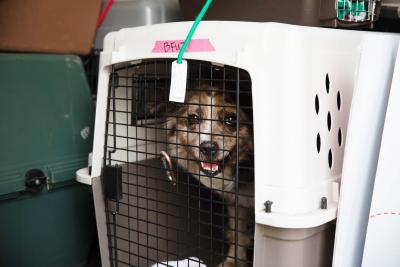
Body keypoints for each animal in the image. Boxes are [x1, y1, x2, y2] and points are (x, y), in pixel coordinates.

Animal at [165, 86, 253, 267]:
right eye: (193, 118)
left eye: (231, 119)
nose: (208, 148)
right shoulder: (236, 201)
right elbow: (237, 232)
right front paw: (233, 261)